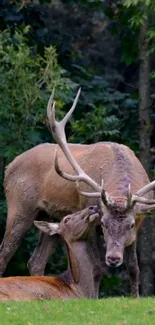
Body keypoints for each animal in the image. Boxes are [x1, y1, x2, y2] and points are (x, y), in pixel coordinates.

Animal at [0, 88, 155, 296]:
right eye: (104, 223)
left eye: (130, 225)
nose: (113, 258)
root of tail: (9, 166)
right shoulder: (90, 219)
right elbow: (96, 268)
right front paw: (93, 297)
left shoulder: (138, 226)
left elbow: (134, 268)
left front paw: (135, 297)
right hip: (19, 206)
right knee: (5, 252)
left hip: (51, 217)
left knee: (36, 260)